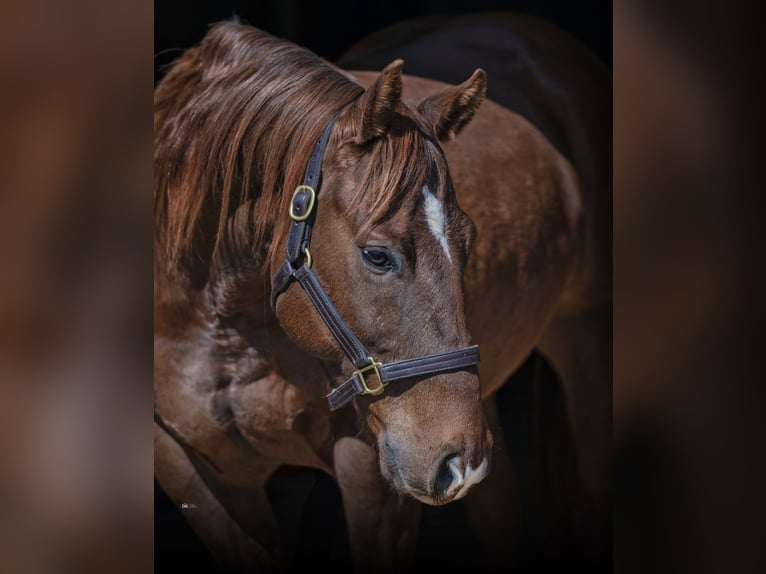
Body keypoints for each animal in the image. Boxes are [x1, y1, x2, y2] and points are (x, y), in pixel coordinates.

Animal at [154, 14, 612, 574]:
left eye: (469, 241)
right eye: (377, 255)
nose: (456, 464)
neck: (221, 321)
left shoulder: (373, 475)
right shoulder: (194, 471)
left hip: (584, 339)